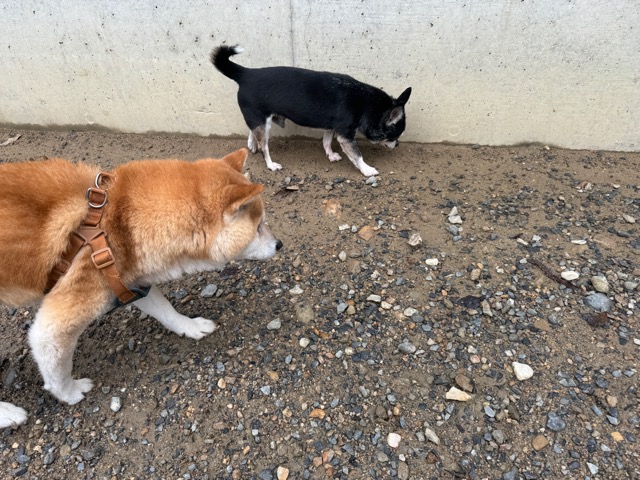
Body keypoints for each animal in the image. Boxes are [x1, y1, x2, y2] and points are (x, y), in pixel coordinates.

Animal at [0, 148, 282, 428]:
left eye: (265, 222)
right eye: (259, 227)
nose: (280, 244)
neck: (115, 221)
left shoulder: (127, 282)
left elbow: (166, 310)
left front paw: (191, 326)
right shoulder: (61, 317)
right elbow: (55, 366)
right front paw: (69, 392)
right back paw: (9, 414)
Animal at [211, 45, 412, 177]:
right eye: (394, 136)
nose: (397, 145)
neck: (365, 102)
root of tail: (246, 73)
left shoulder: (332, 128)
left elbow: (326, 142)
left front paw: (330, 155)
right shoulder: (345, 135)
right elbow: (357, 155)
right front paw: (368, 169)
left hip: (261, 119)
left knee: (252, 131)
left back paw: (251, 143)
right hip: (263, 122)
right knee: (264, 147)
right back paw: (270, 164)